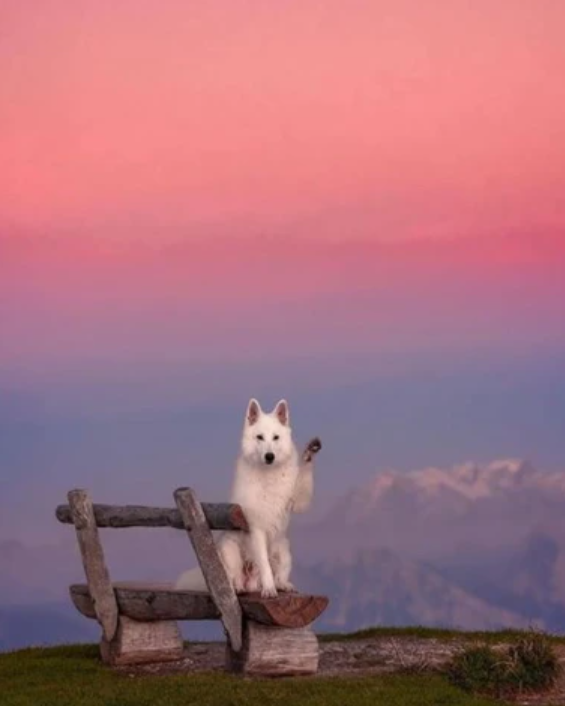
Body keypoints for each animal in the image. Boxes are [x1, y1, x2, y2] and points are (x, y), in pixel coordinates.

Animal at [174, 396, 320, 592]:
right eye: (260, 437)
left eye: (276, 437)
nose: (269, 456)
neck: (269, 474)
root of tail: (252, 582)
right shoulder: (256, 528)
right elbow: (264, 565)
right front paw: (269, 590)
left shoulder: (298, 501)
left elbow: (305, 475)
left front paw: (309, 453)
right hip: (230, 549)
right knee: (233, 577)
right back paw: (240, 587)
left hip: (284, 550)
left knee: (279, 575)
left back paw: (283, 585)